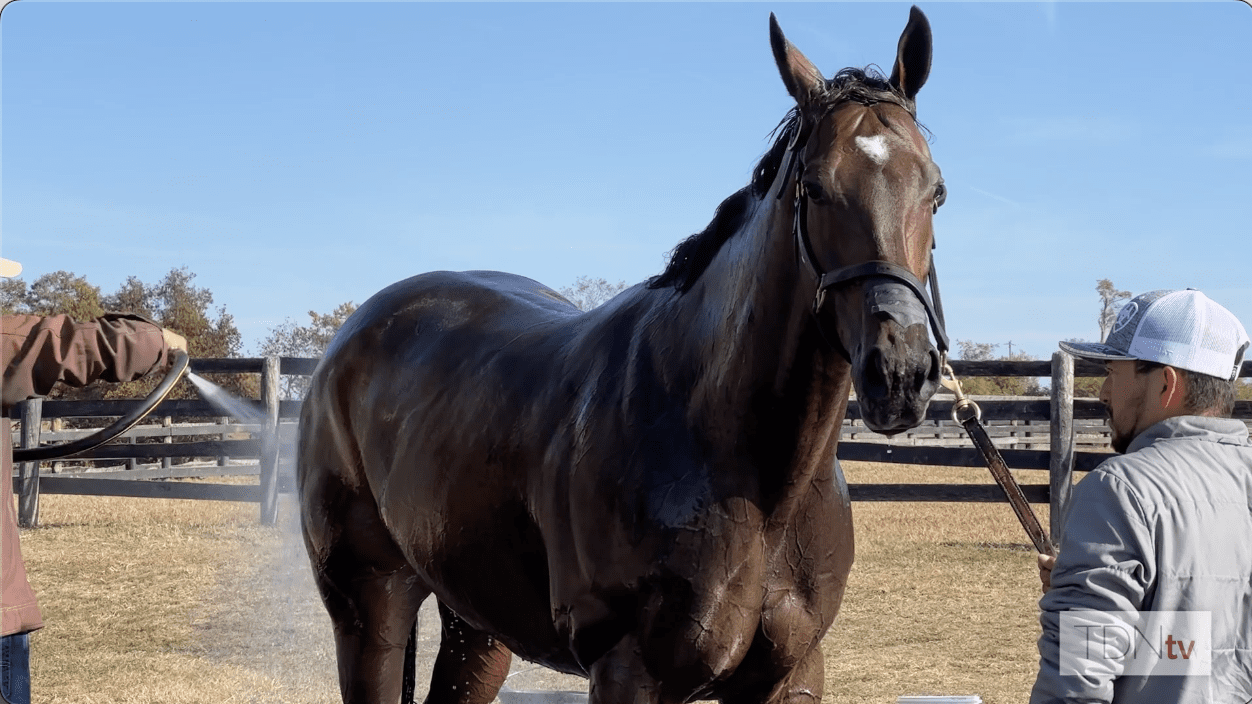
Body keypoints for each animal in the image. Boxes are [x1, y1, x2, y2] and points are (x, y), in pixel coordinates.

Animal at [300, 6, 946, 701]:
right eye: (817, 188)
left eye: (936, 191)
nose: (900, 372)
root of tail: (351, 339)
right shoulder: (626, 669)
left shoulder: (792, 673)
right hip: (372, 608)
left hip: (477, 623)